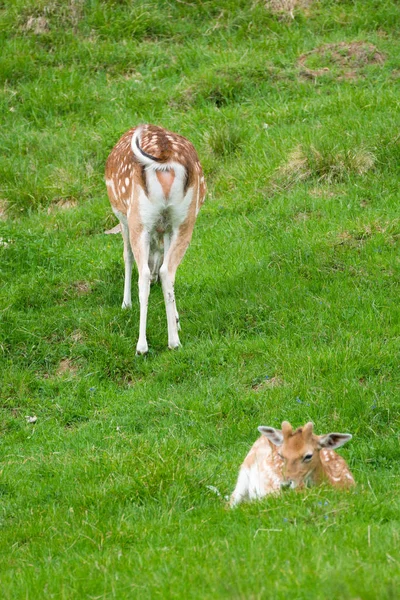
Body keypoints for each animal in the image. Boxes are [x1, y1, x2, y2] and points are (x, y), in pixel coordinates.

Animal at [104, 124, 205, 354]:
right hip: (183, 219)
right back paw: (174, 340)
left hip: (138, 218)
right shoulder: (165, 230)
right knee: (168, 270)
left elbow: (127, 256)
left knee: (143, 274)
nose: (154, 278)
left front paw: (125, 304)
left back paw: (142, 346)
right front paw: (176, 320)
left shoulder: (123, 219)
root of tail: (164, 158)